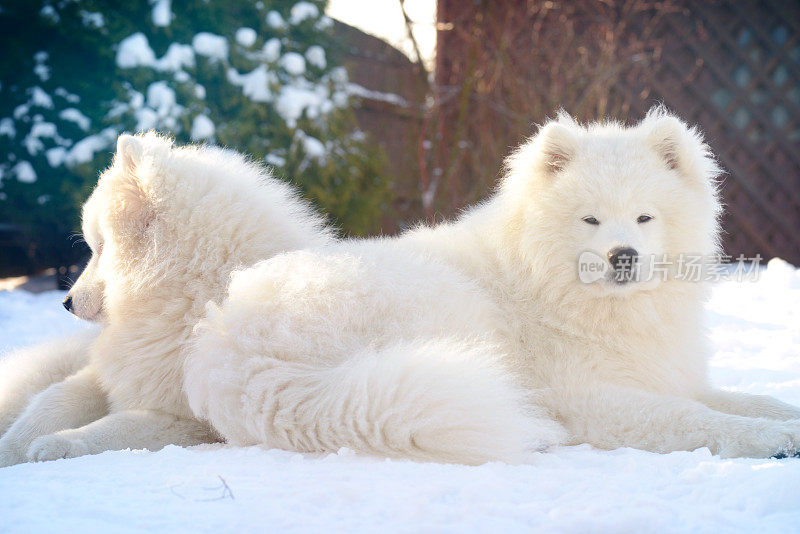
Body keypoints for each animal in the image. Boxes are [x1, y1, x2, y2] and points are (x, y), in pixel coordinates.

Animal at [0, 134, 332, 468]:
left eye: (102, 246)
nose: (66, 302)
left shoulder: (189, 420)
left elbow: (116, 427)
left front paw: (58, 443)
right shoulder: (109, 374)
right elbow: (53, 401)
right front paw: (13, 448)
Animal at [191, 108, 800, 460]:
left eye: (645, 217)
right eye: (590, 219)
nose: (623, 257)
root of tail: (235, 352)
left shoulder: (669, 376)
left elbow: (756, 400)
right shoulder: (595, 400)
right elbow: (699, 420)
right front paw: (773, 443)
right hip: (445, 310)